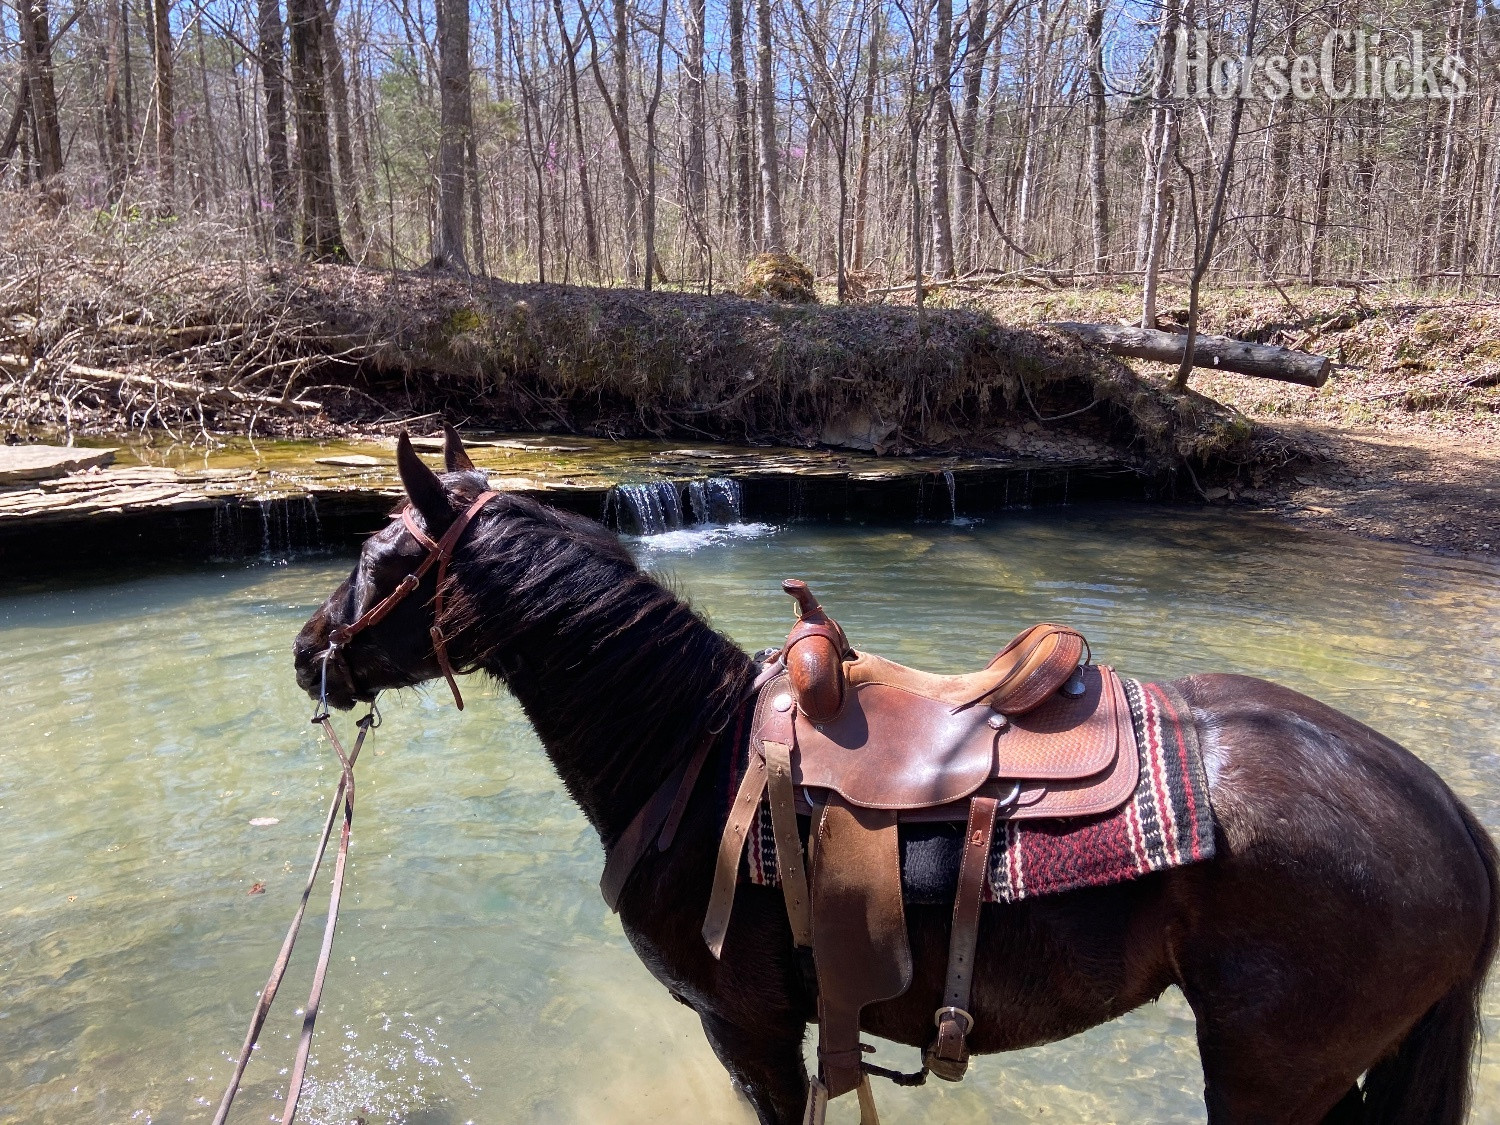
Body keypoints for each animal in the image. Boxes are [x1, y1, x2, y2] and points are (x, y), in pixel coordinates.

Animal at [293, 427, 1499, 1125]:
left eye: (385, 556)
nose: (309, 650)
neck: (690, 754)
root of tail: (1448, 814)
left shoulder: (747, 1032)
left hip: (1269, 1073)